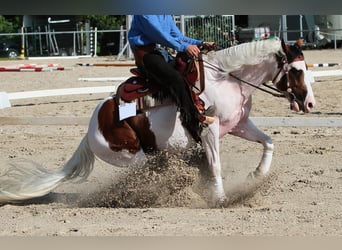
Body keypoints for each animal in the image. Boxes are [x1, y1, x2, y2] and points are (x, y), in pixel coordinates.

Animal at [0, 37, 316, 205]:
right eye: (296, 70)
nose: (310, 103)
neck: (227, 79)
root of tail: (91, 130)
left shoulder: (238, 125)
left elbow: (269, 141)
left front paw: (258, 175)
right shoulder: (209, 129)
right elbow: (215, 165)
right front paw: (220, 199)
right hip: (136, 158)